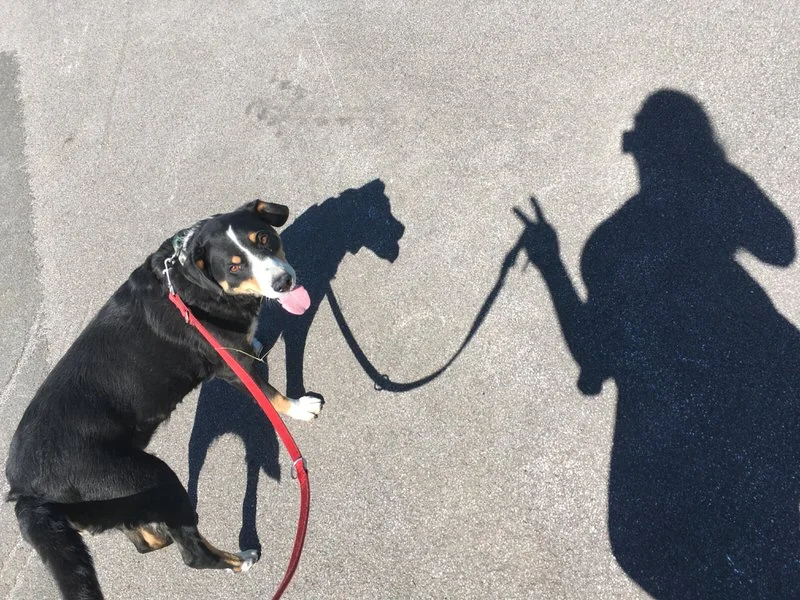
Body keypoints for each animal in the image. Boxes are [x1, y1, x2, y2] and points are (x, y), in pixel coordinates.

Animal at [4, 200, 321, 600]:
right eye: (234, 266)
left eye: (263, 238)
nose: (283, 282)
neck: (186, 280)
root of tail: (23, 490)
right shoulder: (231, 366)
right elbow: (271, 394)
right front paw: (299, 408)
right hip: (146, 476)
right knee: (192, 553)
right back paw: (240, 559)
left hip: (115, 504)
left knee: (146, 541)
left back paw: (156, 533)